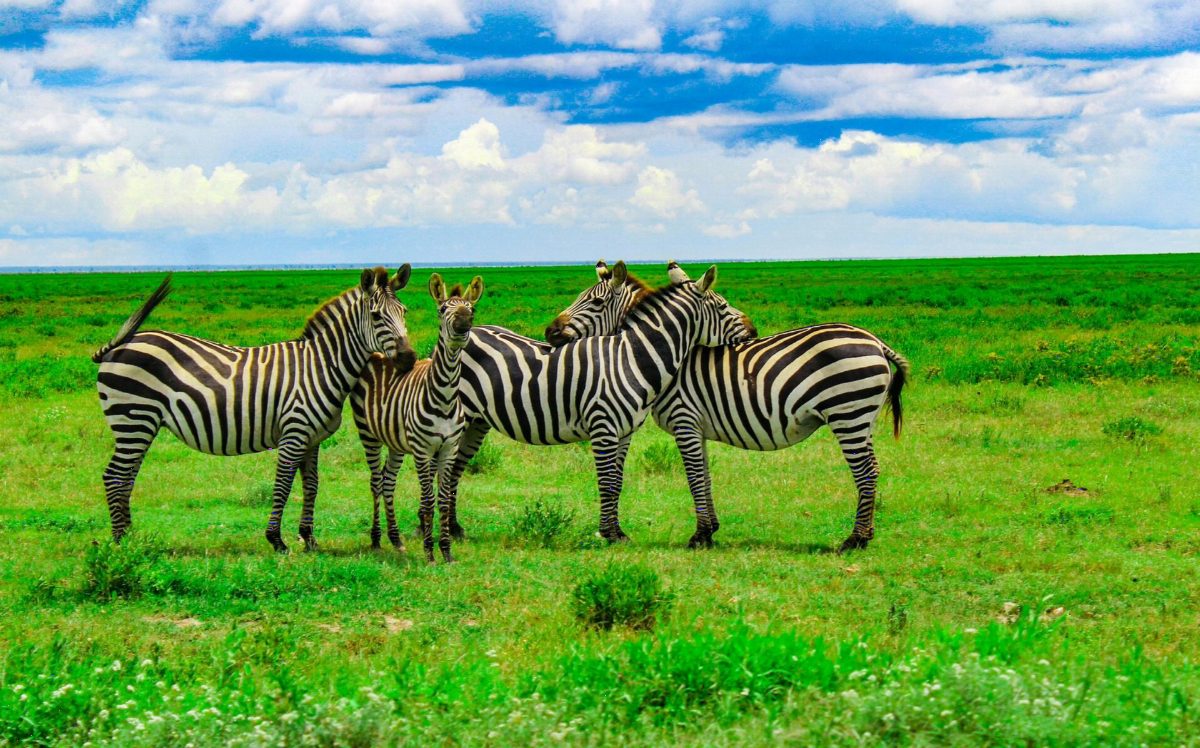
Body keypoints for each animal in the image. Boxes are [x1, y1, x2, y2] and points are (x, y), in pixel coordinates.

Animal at [92, 266, 416, 553]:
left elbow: (311, 484)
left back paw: (132, 536)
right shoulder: (294, 432)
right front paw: (276, 540)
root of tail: (118, 345)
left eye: (404, 312)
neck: (321, 366)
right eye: (376, 316)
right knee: (115, 477)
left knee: (127, 478)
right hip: (133, 419)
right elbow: (283, 484)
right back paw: (121, 543)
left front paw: (309, 538)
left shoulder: (312, 438)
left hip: (142, 424)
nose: (409, 359)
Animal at [351, 274, 484, 563]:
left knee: (388, 481)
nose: (463, 325)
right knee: (375, 482)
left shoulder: (448, 449)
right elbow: (428, 499)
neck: (445, 397)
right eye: (442, 309)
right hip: (368, 433)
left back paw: (395, 539)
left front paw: (446, 551)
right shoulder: (423, 451)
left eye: (472, 310)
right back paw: (376, 539)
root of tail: (380, 353)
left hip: (396, 442)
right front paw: (429, 552)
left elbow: (443, 499)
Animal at [439, 261, 756, 542]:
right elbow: (605, 482)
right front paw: (607, 534)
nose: (752, 331)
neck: (631, 357)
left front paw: (618, 532)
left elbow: (616, 482)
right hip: (462, 417)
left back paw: (454, 529)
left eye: (595, 301)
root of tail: (472, 331)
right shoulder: (603, 426)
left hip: (477, 422)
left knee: (454, 470)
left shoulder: (625, 432)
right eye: (722, 307)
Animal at [546, 264, 909, 553]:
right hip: (862, 418)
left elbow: (694, 476)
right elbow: (704, 475)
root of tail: (876, 342)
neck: (657, 355)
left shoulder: (684, 420)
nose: (550, 332)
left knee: (865, 471)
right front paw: (711, 531)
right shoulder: (697, 427)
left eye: (594, 302)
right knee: (872, 469)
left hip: (847, 413)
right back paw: (865, 534)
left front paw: (699, 536)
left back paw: (855, 540)